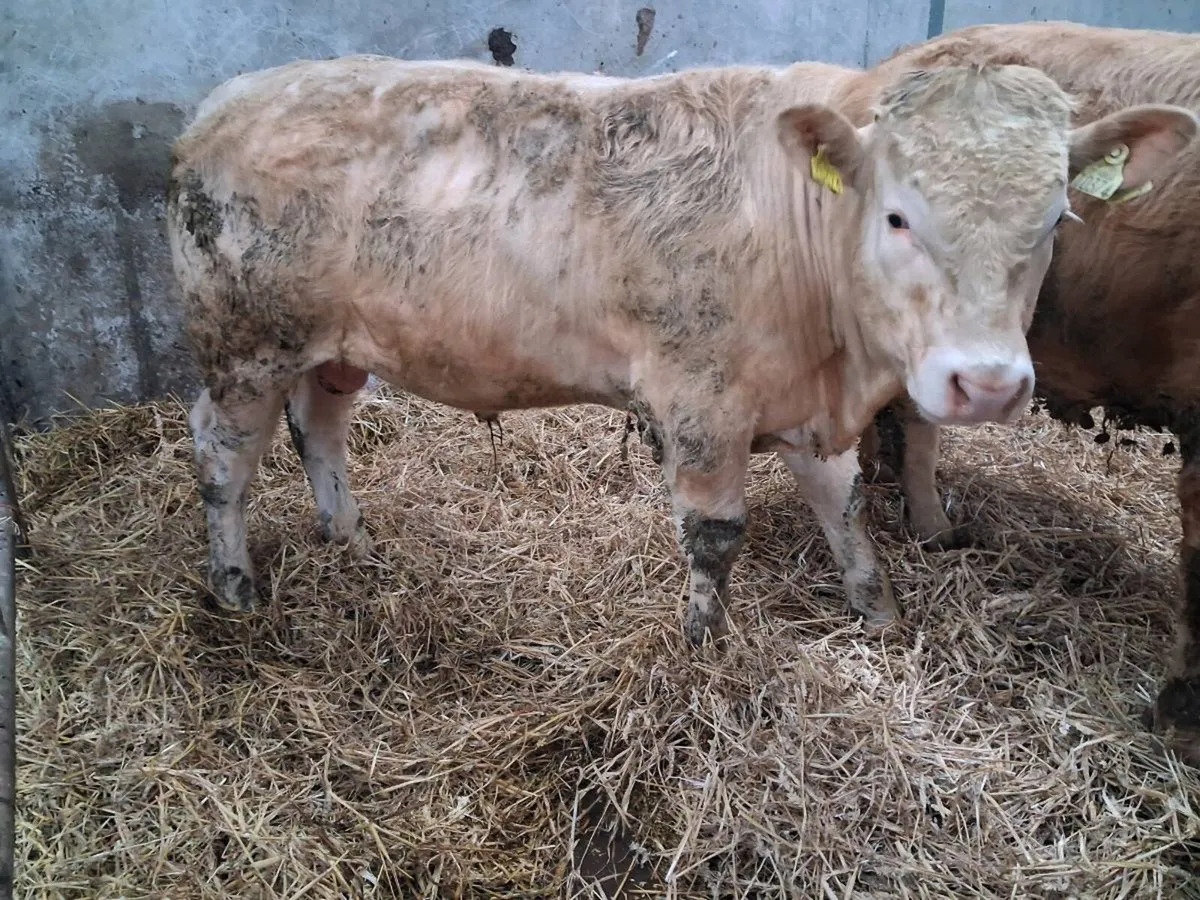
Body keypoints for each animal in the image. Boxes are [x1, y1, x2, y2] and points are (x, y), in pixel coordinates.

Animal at [165, 52, 1191, 653]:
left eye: (1055, 220)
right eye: (899, 216)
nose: (986, 384)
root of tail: (225, 100)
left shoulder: (804, 405)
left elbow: (845, 502)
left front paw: (877, 607)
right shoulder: (701, 401)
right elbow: (715, 536)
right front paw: (705, 647)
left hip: (335, 343)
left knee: (322, 425)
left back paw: (350, 535)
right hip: (242, 342)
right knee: (223, 455)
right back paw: (235, 586)